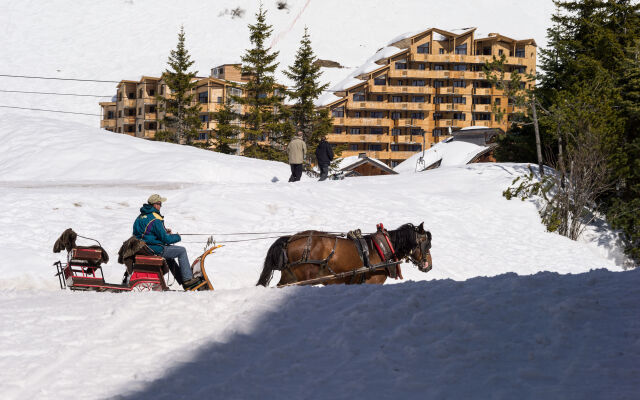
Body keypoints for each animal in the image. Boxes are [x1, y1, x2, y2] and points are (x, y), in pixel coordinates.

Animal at [255, 222, 430, 288]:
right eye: (427, 244)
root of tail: (290, 240)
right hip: (304, 278)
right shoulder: (372, 282)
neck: (380, 249)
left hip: (289, 275)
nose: (429, 265)